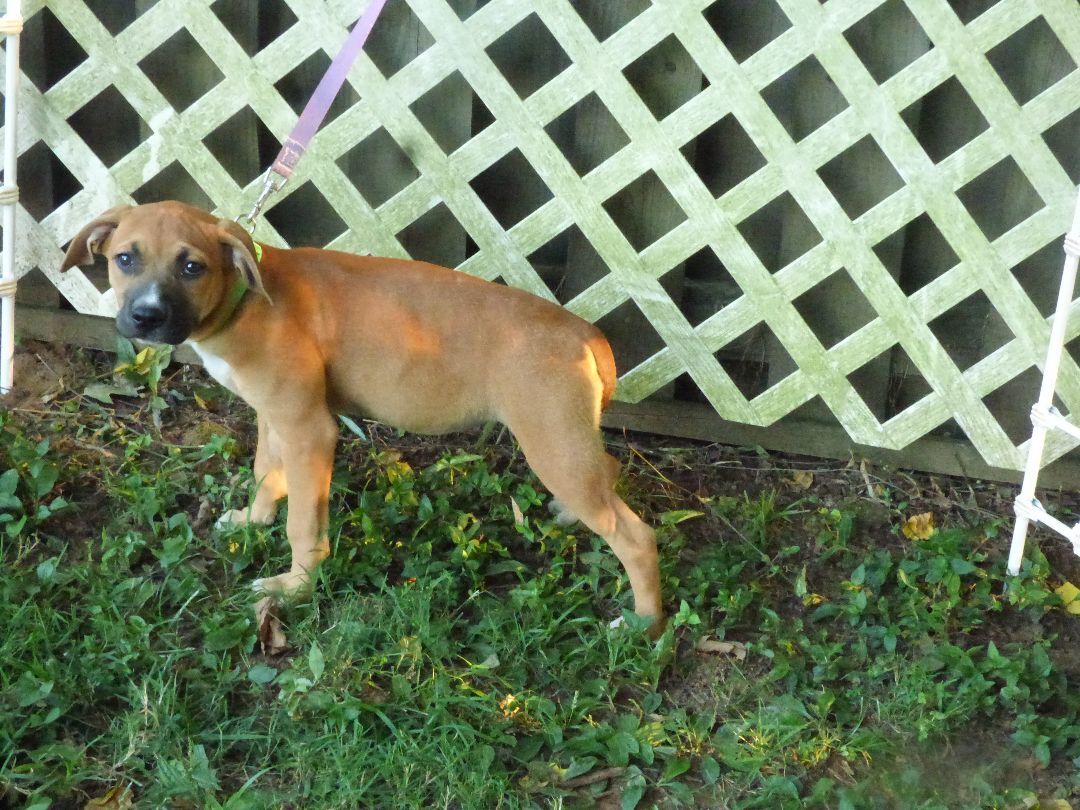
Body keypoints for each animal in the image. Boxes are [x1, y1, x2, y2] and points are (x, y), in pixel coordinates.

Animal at [62, 200, 663, 634]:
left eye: (192, 267)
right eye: (125, 259)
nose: (146, 317)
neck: (244, 299)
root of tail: (584, 334)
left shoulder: (308, 429)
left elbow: (303, 523)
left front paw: (295, 587)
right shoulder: (276, 418)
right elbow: (266, 474)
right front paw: (252, 521)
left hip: (551, 442)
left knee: (635, 536)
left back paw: (646, 625)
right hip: (568, 440)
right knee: (607, 475)